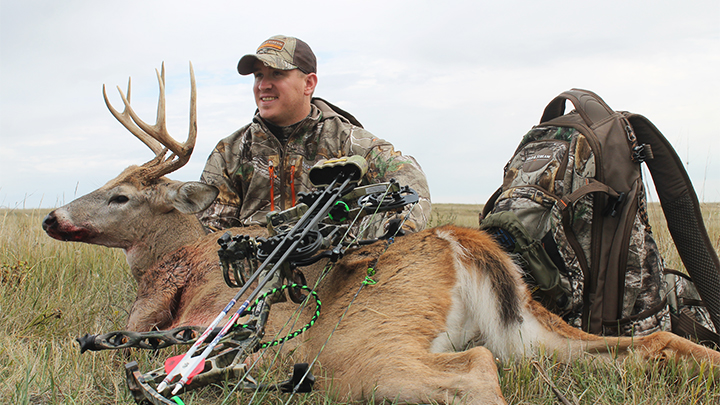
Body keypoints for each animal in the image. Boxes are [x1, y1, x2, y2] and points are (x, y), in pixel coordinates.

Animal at [42, 64, 716, 404]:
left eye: (121, 195)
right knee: (658, 343)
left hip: (352, 355)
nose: (52, 218)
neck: (184, 260)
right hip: (530, 332)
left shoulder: (183, 322)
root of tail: (461, 244)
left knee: (475, 368)